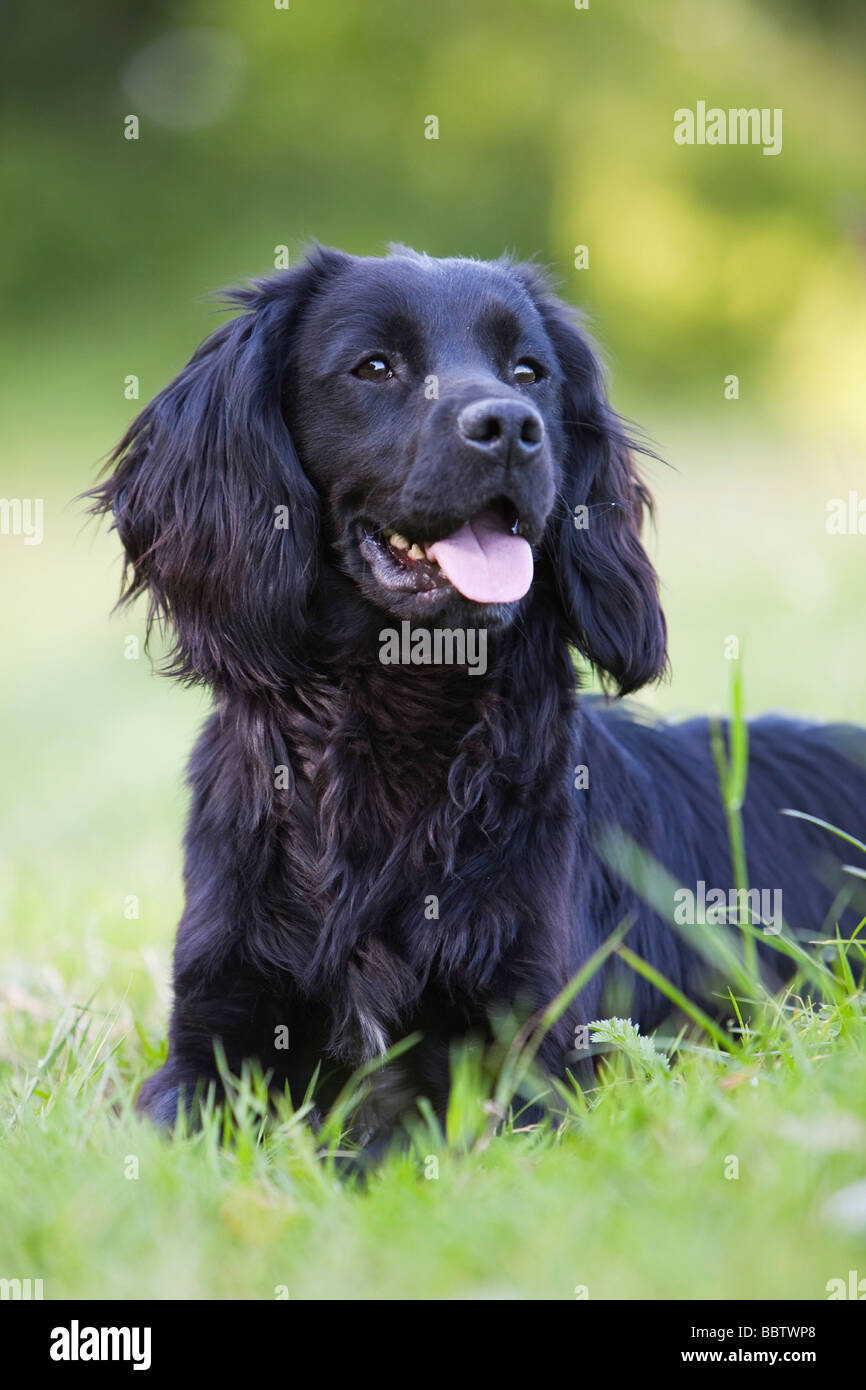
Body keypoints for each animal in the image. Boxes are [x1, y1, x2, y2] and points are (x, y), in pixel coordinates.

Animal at [89, 247, 866, 1128]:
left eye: (529, 372)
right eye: (375, 367)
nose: (512, 429)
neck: (399, 717)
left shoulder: (529, 1058)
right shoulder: (212, 1036)